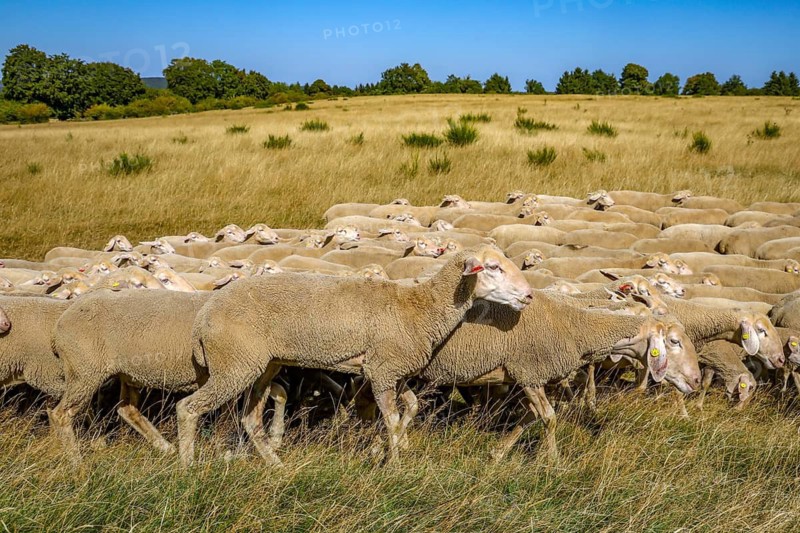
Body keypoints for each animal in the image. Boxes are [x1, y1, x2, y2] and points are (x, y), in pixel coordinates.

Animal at [47, 289, 288, 462]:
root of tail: (60, 323)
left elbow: (280, 392)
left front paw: (274, 438)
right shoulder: (231, 373)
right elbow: (228, 417)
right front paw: (227, 452)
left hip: (126, 374)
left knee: (126, 408)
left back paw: (165, 447)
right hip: (84, 372)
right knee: (61, 414)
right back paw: (77, 464)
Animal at [175, 246, 533, 466]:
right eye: (493, 267)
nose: (529, 295)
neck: (420, 308)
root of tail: (203, 317)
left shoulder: (390, 370)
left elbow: (412, 406)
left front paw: (392, 446)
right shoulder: (383, 369)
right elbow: (390, 418)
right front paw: (393, 463)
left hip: (261, 367)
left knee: (250, 419)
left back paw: (276, 466)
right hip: (234, 366)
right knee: (187, 408)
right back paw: (187, 466)